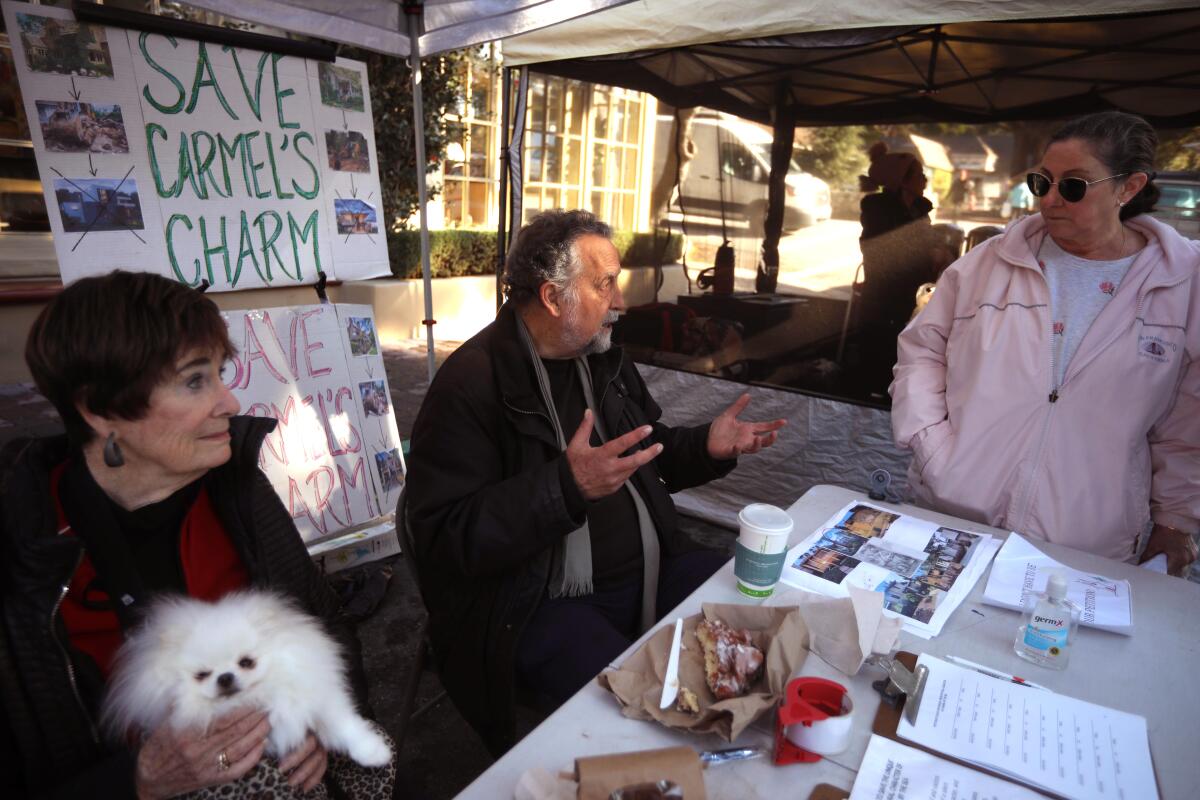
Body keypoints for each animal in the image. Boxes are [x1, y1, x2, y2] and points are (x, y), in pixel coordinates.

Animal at [100, 587, 388, 767]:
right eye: (202, 674)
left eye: (246, 662)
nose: (225, 677)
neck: (262, 698)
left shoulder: (315, 699)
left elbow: (344, 726)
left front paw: (374, 752)